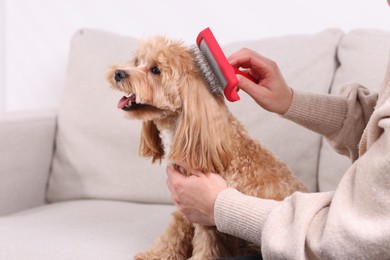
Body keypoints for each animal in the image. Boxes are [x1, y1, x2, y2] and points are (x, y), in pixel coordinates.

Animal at [106, 35, 308, 258]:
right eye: (136, 61)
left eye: (155, 70)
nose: (118, 73)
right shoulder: (185, 206)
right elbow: (174, 232)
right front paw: (156, 254)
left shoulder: (204, 214)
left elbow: (205, 247)